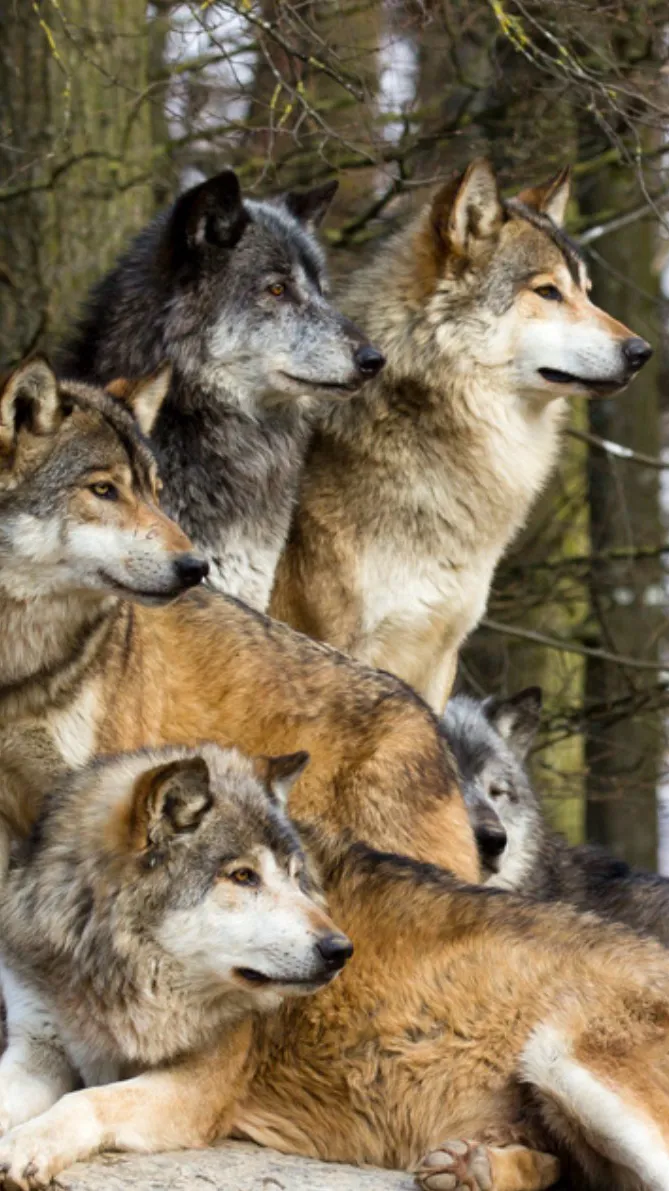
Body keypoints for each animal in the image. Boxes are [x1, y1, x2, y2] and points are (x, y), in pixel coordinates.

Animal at [0, 742, 350, 1114]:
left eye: (295, 877)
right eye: (243, 876)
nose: (341, 950)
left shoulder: (198, 1080)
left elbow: (85, 1103)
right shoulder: (36, 1042)